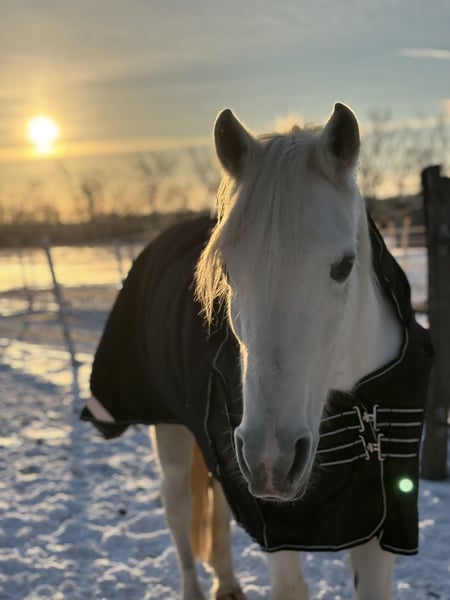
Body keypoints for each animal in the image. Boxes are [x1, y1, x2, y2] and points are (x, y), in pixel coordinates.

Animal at [83, 103, 432, 599]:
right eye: (227, 271)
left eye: (344, 265)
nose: (272, 458)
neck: (359, 410)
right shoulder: (276, 526)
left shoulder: (382, 516)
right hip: (169, 431)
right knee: (178, 511)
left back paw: (228, 583)